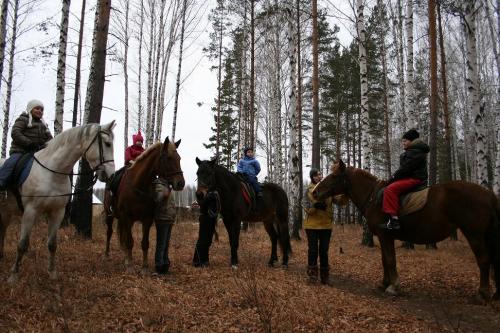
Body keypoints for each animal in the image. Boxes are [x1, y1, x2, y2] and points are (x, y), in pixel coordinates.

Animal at [0, 120, 115, 282]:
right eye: (107, 143)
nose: (110, 174)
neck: (52, 172)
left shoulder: (57, 212)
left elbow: (52, 244)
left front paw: (52, 273)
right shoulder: (30, 211)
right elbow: (22, 244)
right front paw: (14, 275)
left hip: (6, 211)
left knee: (2, 230)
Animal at [103, 136, 184, 272]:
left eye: (179, 158)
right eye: (168, 158)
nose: (181, 183)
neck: (139, 185)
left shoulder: (147, 219)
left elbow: (144, 243)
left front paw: (144, 267)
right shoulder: (126, 217)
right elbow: (130, 242)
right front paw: (130, 266)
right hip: (110, 216)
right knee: (109, 232)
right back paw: (107, 254)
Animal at [312, 160, 500, 300]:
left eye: (334, 176)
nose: (315, 192)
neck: (374, 197)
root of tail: (488, 194)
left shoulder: (385, 235)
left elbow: (390, 260)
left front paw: (393, 287)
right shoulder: (384, 237)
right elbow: (384, 260)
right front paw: (384, 283)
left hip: (474, 235)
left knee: (484, 260)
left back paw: (483, 293)